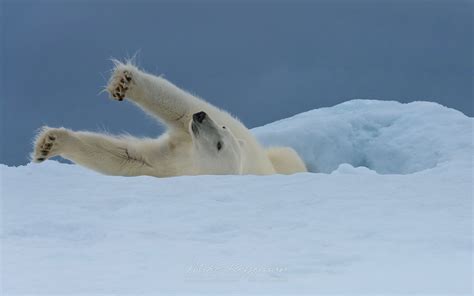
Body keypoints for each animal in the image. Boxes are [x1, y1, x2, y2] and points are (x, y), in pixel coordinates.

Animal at [33, 59, 308, 176]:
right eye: (222, 127)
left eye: (219, 145)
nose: (201, 117)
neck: (193, 158)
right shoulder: (182, 146)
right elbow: (180, 108)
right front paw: (49, 143)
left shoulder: (174, 166)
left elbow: (127, 158)